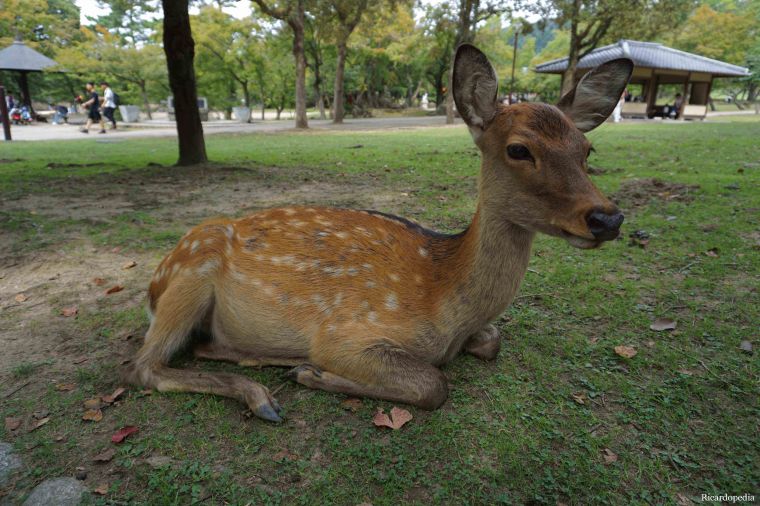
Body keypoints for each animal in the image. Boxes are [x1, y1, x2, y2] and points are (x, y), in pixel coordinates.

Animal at [124, 44, 632, 423]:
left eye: (587, 149)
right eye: (519, 149)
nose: (606, 218)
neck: (445, 300)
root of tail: (152, 285)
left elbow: (492, 341)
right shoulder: (346, 331)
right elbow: (434, 382)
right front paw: (315, 375)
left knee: (198, 347)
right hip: (191, 276)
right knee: (145, 368)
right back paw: (263, 394)